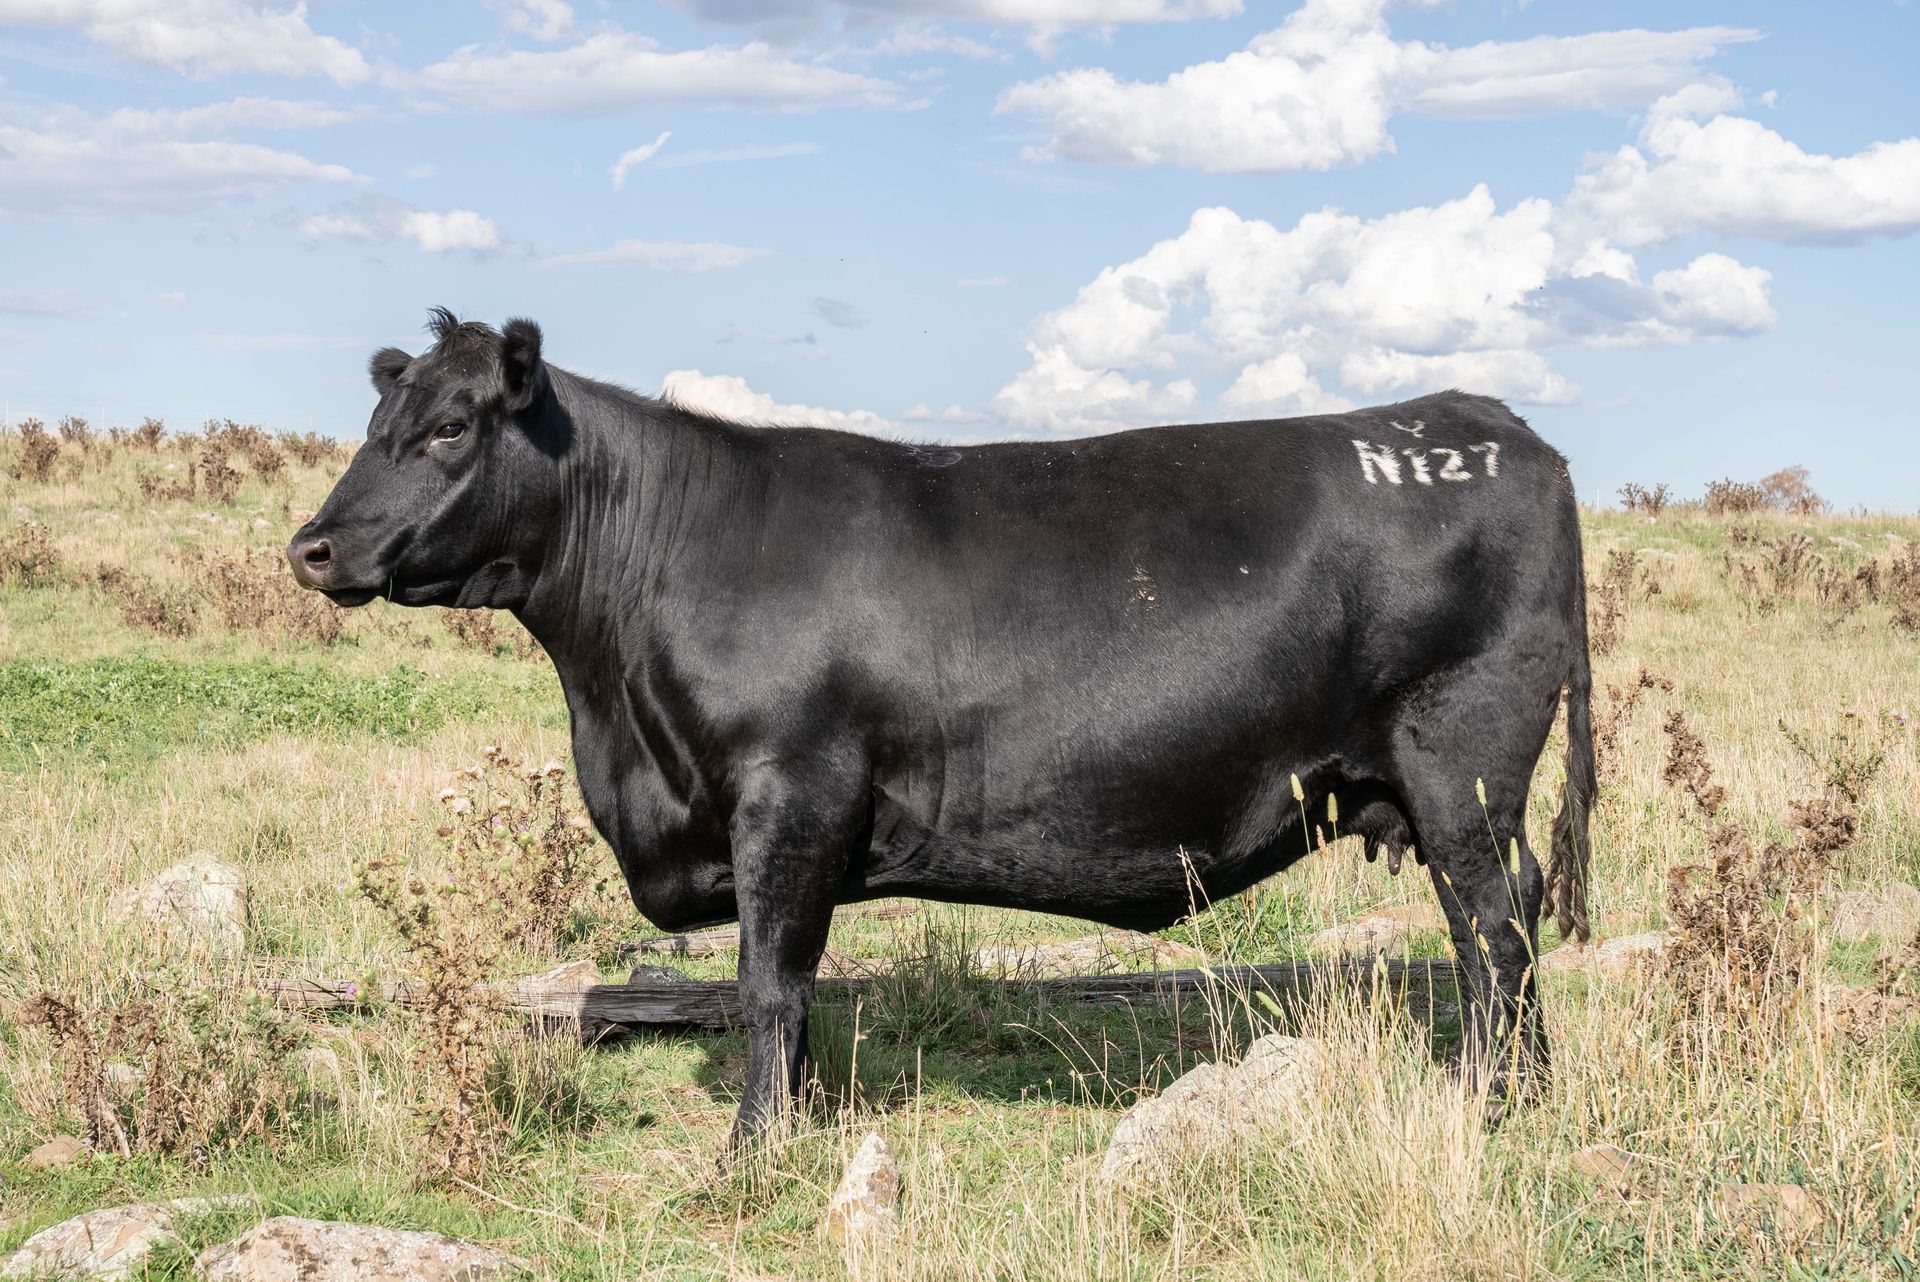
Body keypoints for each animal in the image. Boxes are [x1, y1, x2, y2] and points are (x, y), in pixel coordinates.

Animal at [289, 309, 1595, 1145]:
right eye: (379, 416)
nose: (313, 546)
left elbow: (772, 979)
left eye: (451, 427)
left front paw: (756, 1148)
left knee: (1494, 927)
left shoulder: (791, 791)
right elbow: (798, 986)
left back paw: (1498, 1104)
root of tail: (1489, 421)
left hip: (1462, 769)